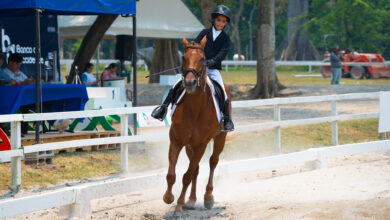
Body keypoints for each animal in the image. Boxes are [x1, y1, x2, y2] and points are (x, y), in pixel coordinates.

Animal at [162, 37, 232, 216]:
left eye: (202, 58)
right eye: (183, 57)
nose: (189, 82)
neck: (194, 109)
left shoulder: (201, 144)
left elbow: (186, 176)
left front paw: (179, 207)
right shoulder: (176, 141)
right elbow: (171, 174)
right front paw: (168, 198)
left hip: (220, 138)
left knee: (213, 162)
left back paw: (208, 197)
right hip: (189, 146)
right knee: (196, 169)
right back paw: (192, 200)